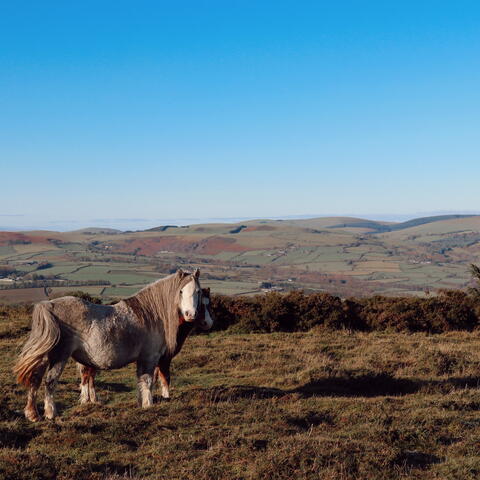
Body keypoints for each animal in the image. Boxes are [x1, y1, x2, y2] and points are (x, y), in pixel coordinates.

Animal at [77, 286, 214, 404]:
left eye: (209, 303)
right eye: (199, 304)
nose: (208, 323)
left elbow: (153, 378)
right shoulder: (164, 359)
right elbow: (165, 378)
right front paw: (165, 398)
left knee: (90, 376)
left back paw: (93, 399)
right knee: (86, 376)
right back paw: (86, 400)